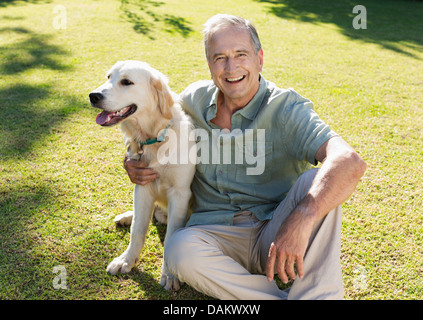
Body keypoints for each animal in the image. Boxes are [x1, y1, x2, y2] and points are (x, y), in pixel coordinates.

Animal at [90, 59, 196, 290]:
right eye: (108, 77)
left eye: (127, 82)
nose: (93, 95)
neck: (155, 137)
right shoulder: (143, 187)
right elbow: (137, 230)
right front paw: (126, 260)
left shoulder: (180, 193)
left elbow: (171, 236)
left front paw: (170, 274)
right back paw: (126, 216)